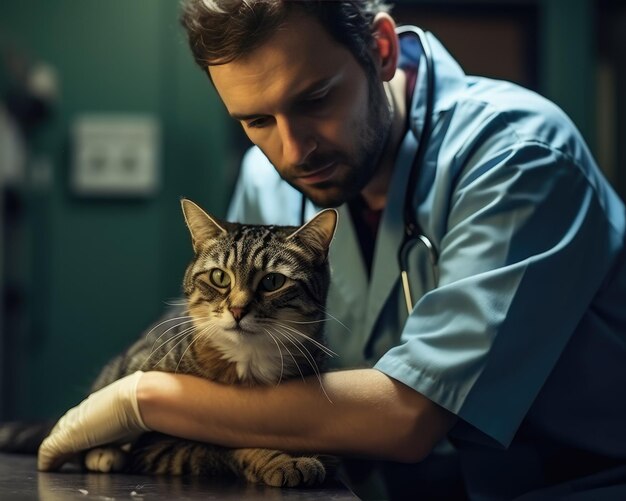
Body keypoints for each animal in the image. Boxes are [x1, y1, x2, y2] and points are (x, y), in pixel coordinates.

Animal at [0, 197, 336, 486]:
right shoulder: (158, 447)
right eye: (219, 277)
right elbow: (230, 448)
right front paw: (280, 461)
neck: (247, 363)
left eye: (273, 281)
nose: (238, 310)